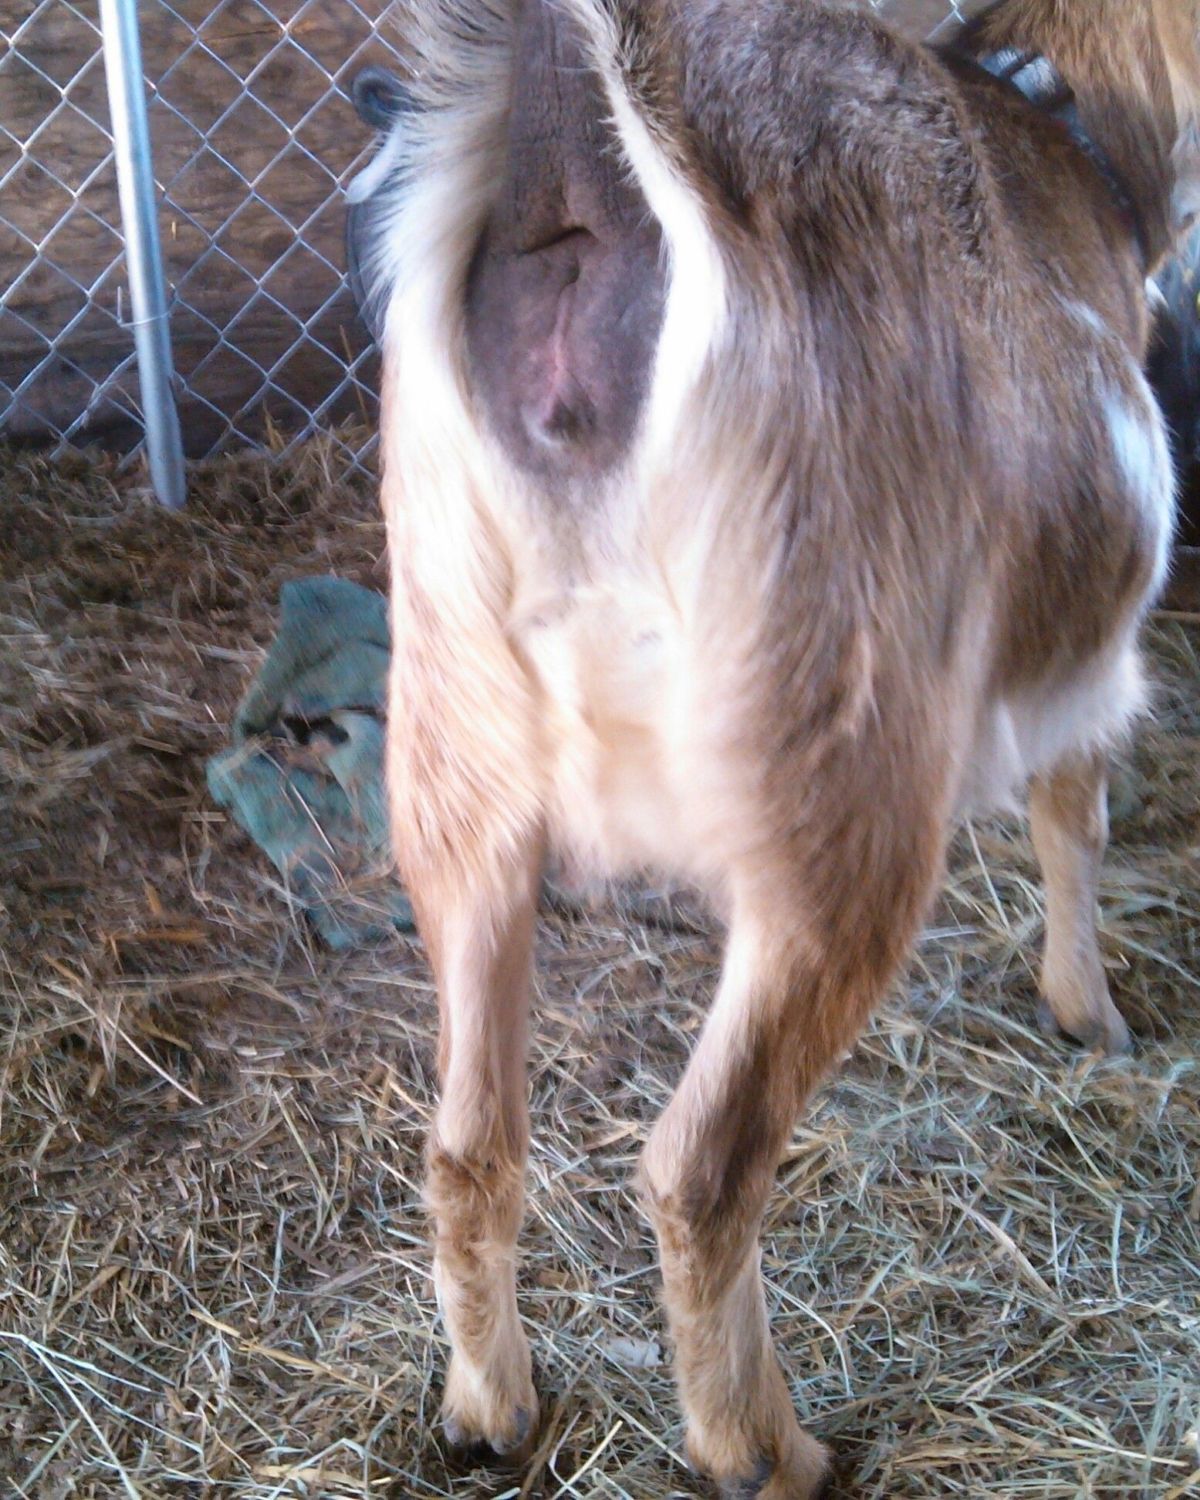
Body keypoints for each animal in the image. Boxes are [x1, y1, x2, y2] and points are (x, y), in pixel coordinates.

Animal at [346, 2, 1200, 1493]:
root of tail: (584, 152)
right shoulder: (1092, 655)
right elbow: (1073, 815)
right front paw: (1089, 1014)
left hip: (455, 735)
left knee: (465, 1140)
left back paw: (489, 1410)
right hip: (839, 763)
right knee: (703, 1161)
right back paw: (765, 1447)